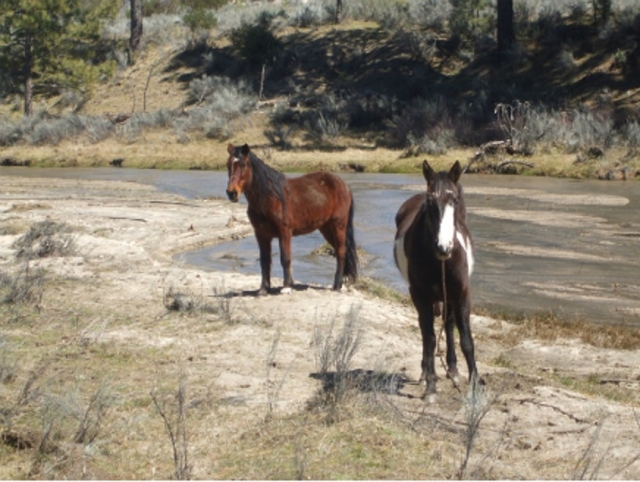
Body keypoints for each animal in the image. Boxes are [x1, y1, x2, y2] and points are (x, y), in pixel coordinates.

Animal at [225, 144, 358, 295]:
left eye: (243, 164)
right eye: (228, 165)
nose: (231, 193)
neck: (270, 197)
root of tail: (344, 185)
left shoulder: (284, 232)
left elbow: (285, 258)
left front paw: (287, 287)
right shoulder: (261, 234)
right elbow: (264, 260)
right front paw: (264, 289)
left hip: (338, 225)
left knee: (341, 252)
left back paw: (336, 286)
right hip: (326, 228)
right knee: (338, 250)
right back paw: (341, 283)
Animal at [393, 160, 479, 402]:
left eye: (455, 200)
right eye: (430, 201)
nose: (444, 247)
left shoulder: (461, 294)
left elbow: (466, 340)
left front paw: (475, 384)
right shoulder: (420, 295)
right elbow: (429, 337)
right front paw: (431, 387)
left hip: (447, 296)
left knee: (448, 326)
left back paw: (452, 369)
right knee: (426, 329)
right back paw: (425, 373)